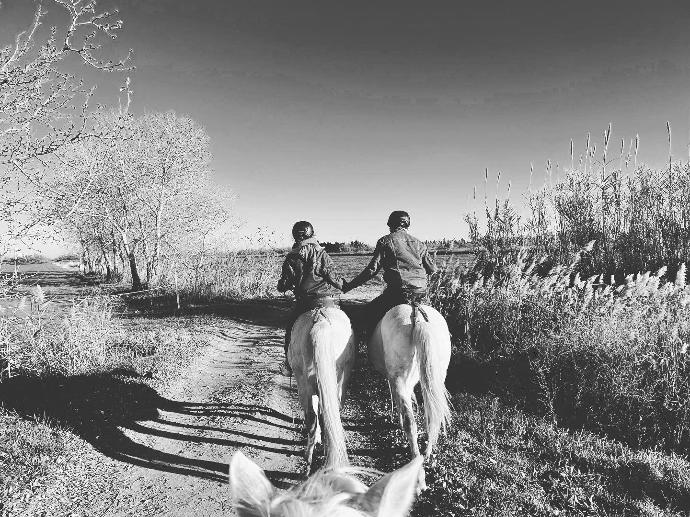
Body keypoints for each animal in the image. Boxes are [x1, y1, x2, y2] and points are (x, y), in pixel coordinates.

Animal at [286, 306, 352, 472]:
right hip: (339, 380)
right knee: (327, 413)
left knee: (312, 416)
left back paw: (309, 456)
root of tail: (321, 319)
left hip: (304, 382)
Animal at [368, 302, 448, 488]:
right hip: (435, 377)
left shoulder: (395, 380)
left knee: (410, 423)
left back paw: (417, 471)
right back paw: (427, 453)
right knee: (432, 418)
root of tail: (417, 316)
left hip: (400, 378)